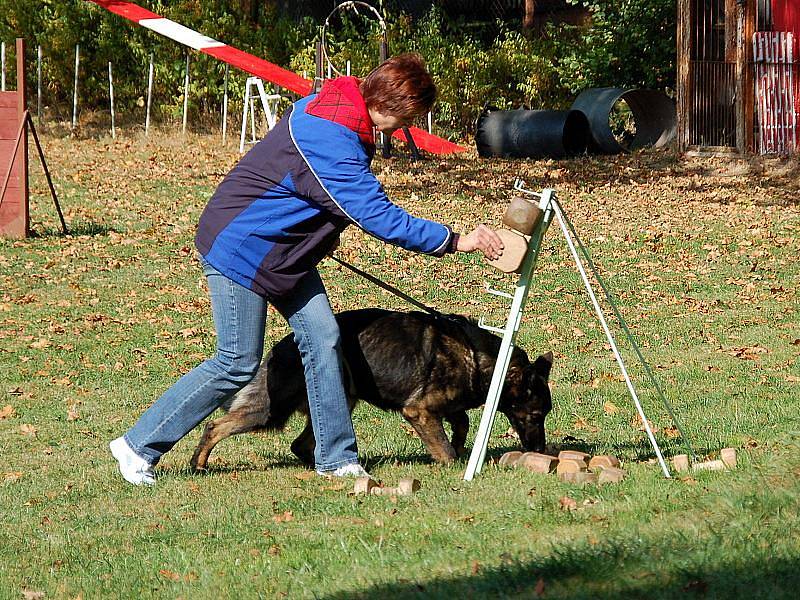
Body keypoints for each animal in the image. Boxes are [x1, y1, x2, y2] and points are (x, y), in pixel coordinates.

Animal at [189, 310, 552, 468]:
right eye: (536, 415)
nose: (541, 450)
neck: (478, 356)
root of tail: (284, 347)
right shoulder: (419, 410)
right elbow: (446, 446)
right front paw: (452, 462)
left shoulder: (443, 406)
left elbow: (460, 422)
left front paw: (460, 446)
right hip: (270, 411)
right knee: (215, 425)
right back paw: (199, 463)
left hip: (341, 398)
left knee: (300, 444)